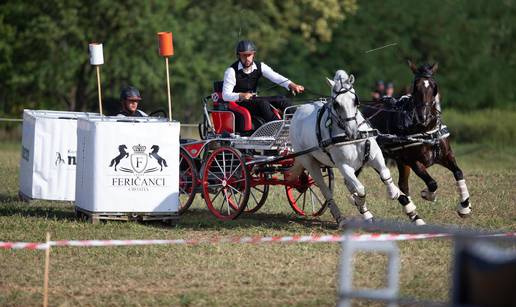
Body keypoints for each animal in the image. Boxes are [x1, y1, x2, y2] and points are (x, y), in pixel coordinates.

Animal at [288, 71, 426, 227]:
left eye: (355, 100)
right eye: (336, 104)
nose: (352, 131)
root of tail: (297, 112)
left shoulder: (374, 155)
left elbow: (385, 174)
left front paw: (396, 194)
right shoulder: (343, 165)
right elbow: (360, 190)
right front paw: (358, 201)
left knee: (349, 184)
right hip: (309, 162)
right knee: (326, 190)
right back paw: (341, 217)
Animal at [360, 61, 470, 218]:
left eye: (434, 86)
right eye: (415, 87)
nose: (423, 116)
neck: (425, 131)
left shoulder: (446, 156)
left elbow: (458, 172)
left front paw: (465, 206)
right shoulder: (414, 162)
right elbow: (432, 183)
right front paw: (428, 194)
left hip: (400, 161)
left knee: (403, 184)